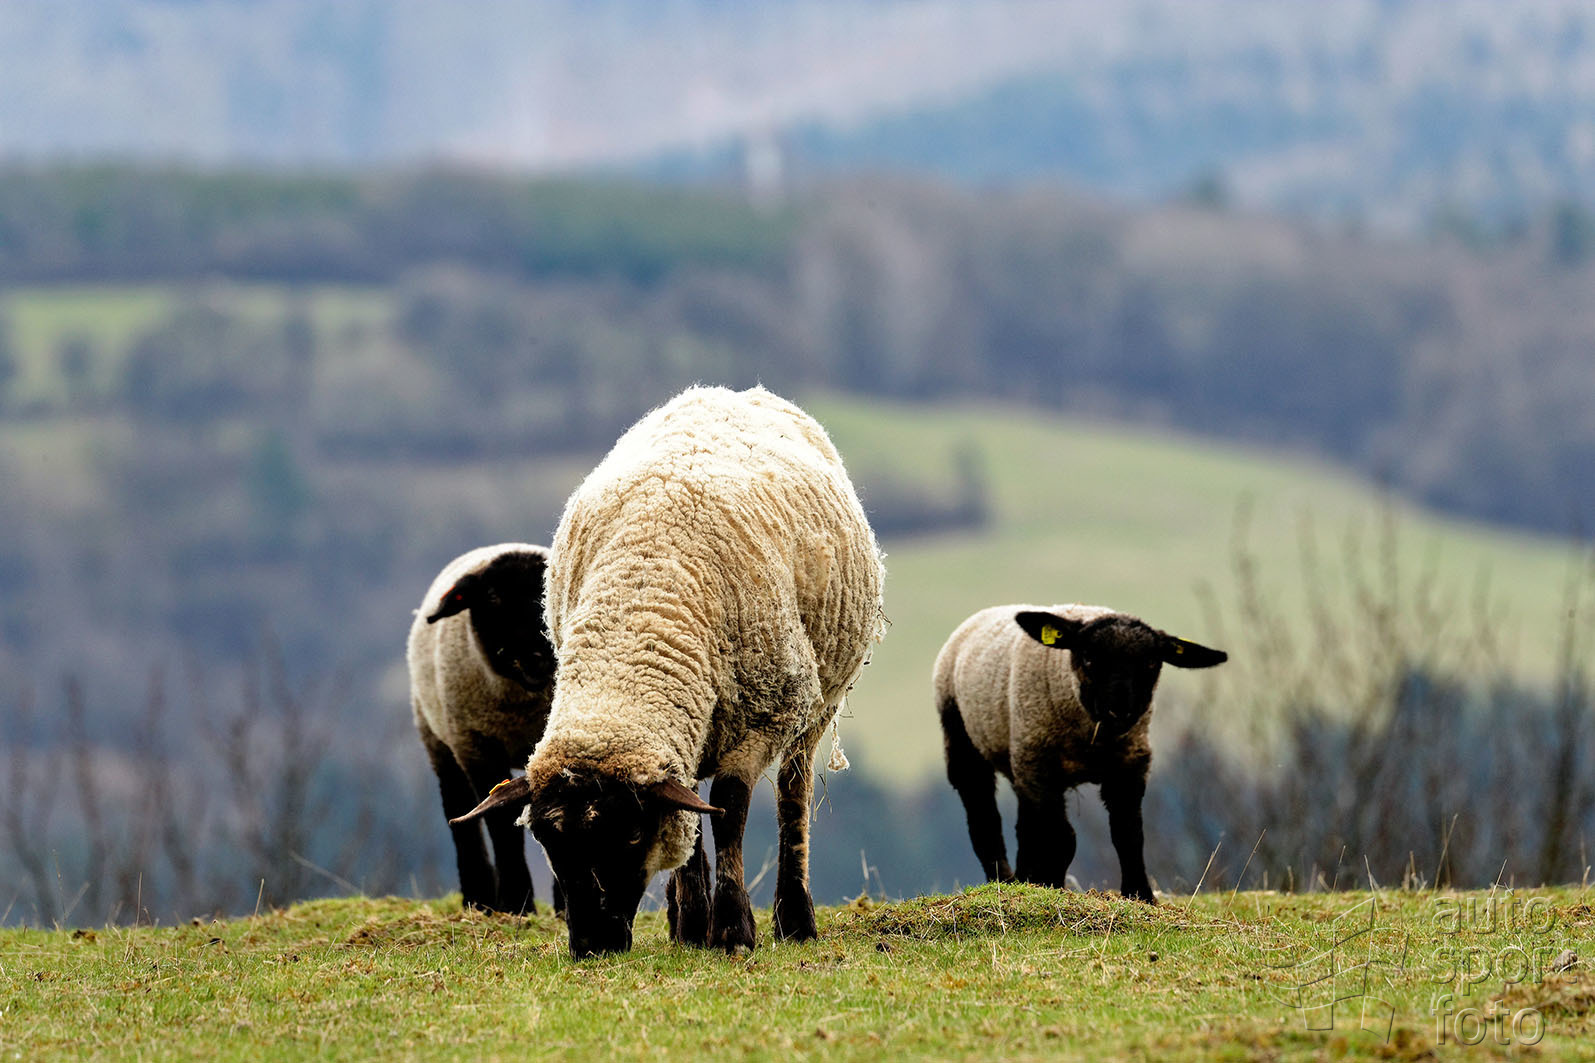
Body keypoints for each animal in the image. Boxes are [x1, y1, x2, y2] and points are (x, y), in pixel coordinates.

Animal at [407, 543, 557, 915]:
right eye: (491, 596)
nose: (539, 655)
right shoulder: (478, 747)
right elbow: (500, 822)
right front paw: (518, 903)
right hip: (440, 741)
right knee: (459, 813)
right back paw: (478, 898)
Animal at [454, 385, 884, 957]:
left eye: (633, 834)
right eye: (545, 838)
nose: (593, 943)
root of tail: (737, 391)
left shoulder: (763, 717)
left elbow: (728, 810)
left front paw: (733, 930)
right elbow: (693, 818)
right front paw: (699, 924)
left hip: (814, 704)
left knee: (792, 796)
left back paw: (794, 919)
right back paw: (689, 922)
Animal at [933, 604, 1226, 902]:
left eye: (1151, 663)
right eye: (1088, 658)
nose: (1120, 711)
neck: (1091, 738)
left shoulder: (1130, 764)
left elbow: (1128, 832)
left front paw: (1139, 894)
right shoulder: (1041, 767)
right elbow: (1063, 838)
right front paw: (1051, 885)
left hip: (1022, 762)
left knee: (1025, 826)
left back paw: (1024, 876)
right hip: (966, 740)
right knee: (984, 818)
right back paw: (1004, 880)